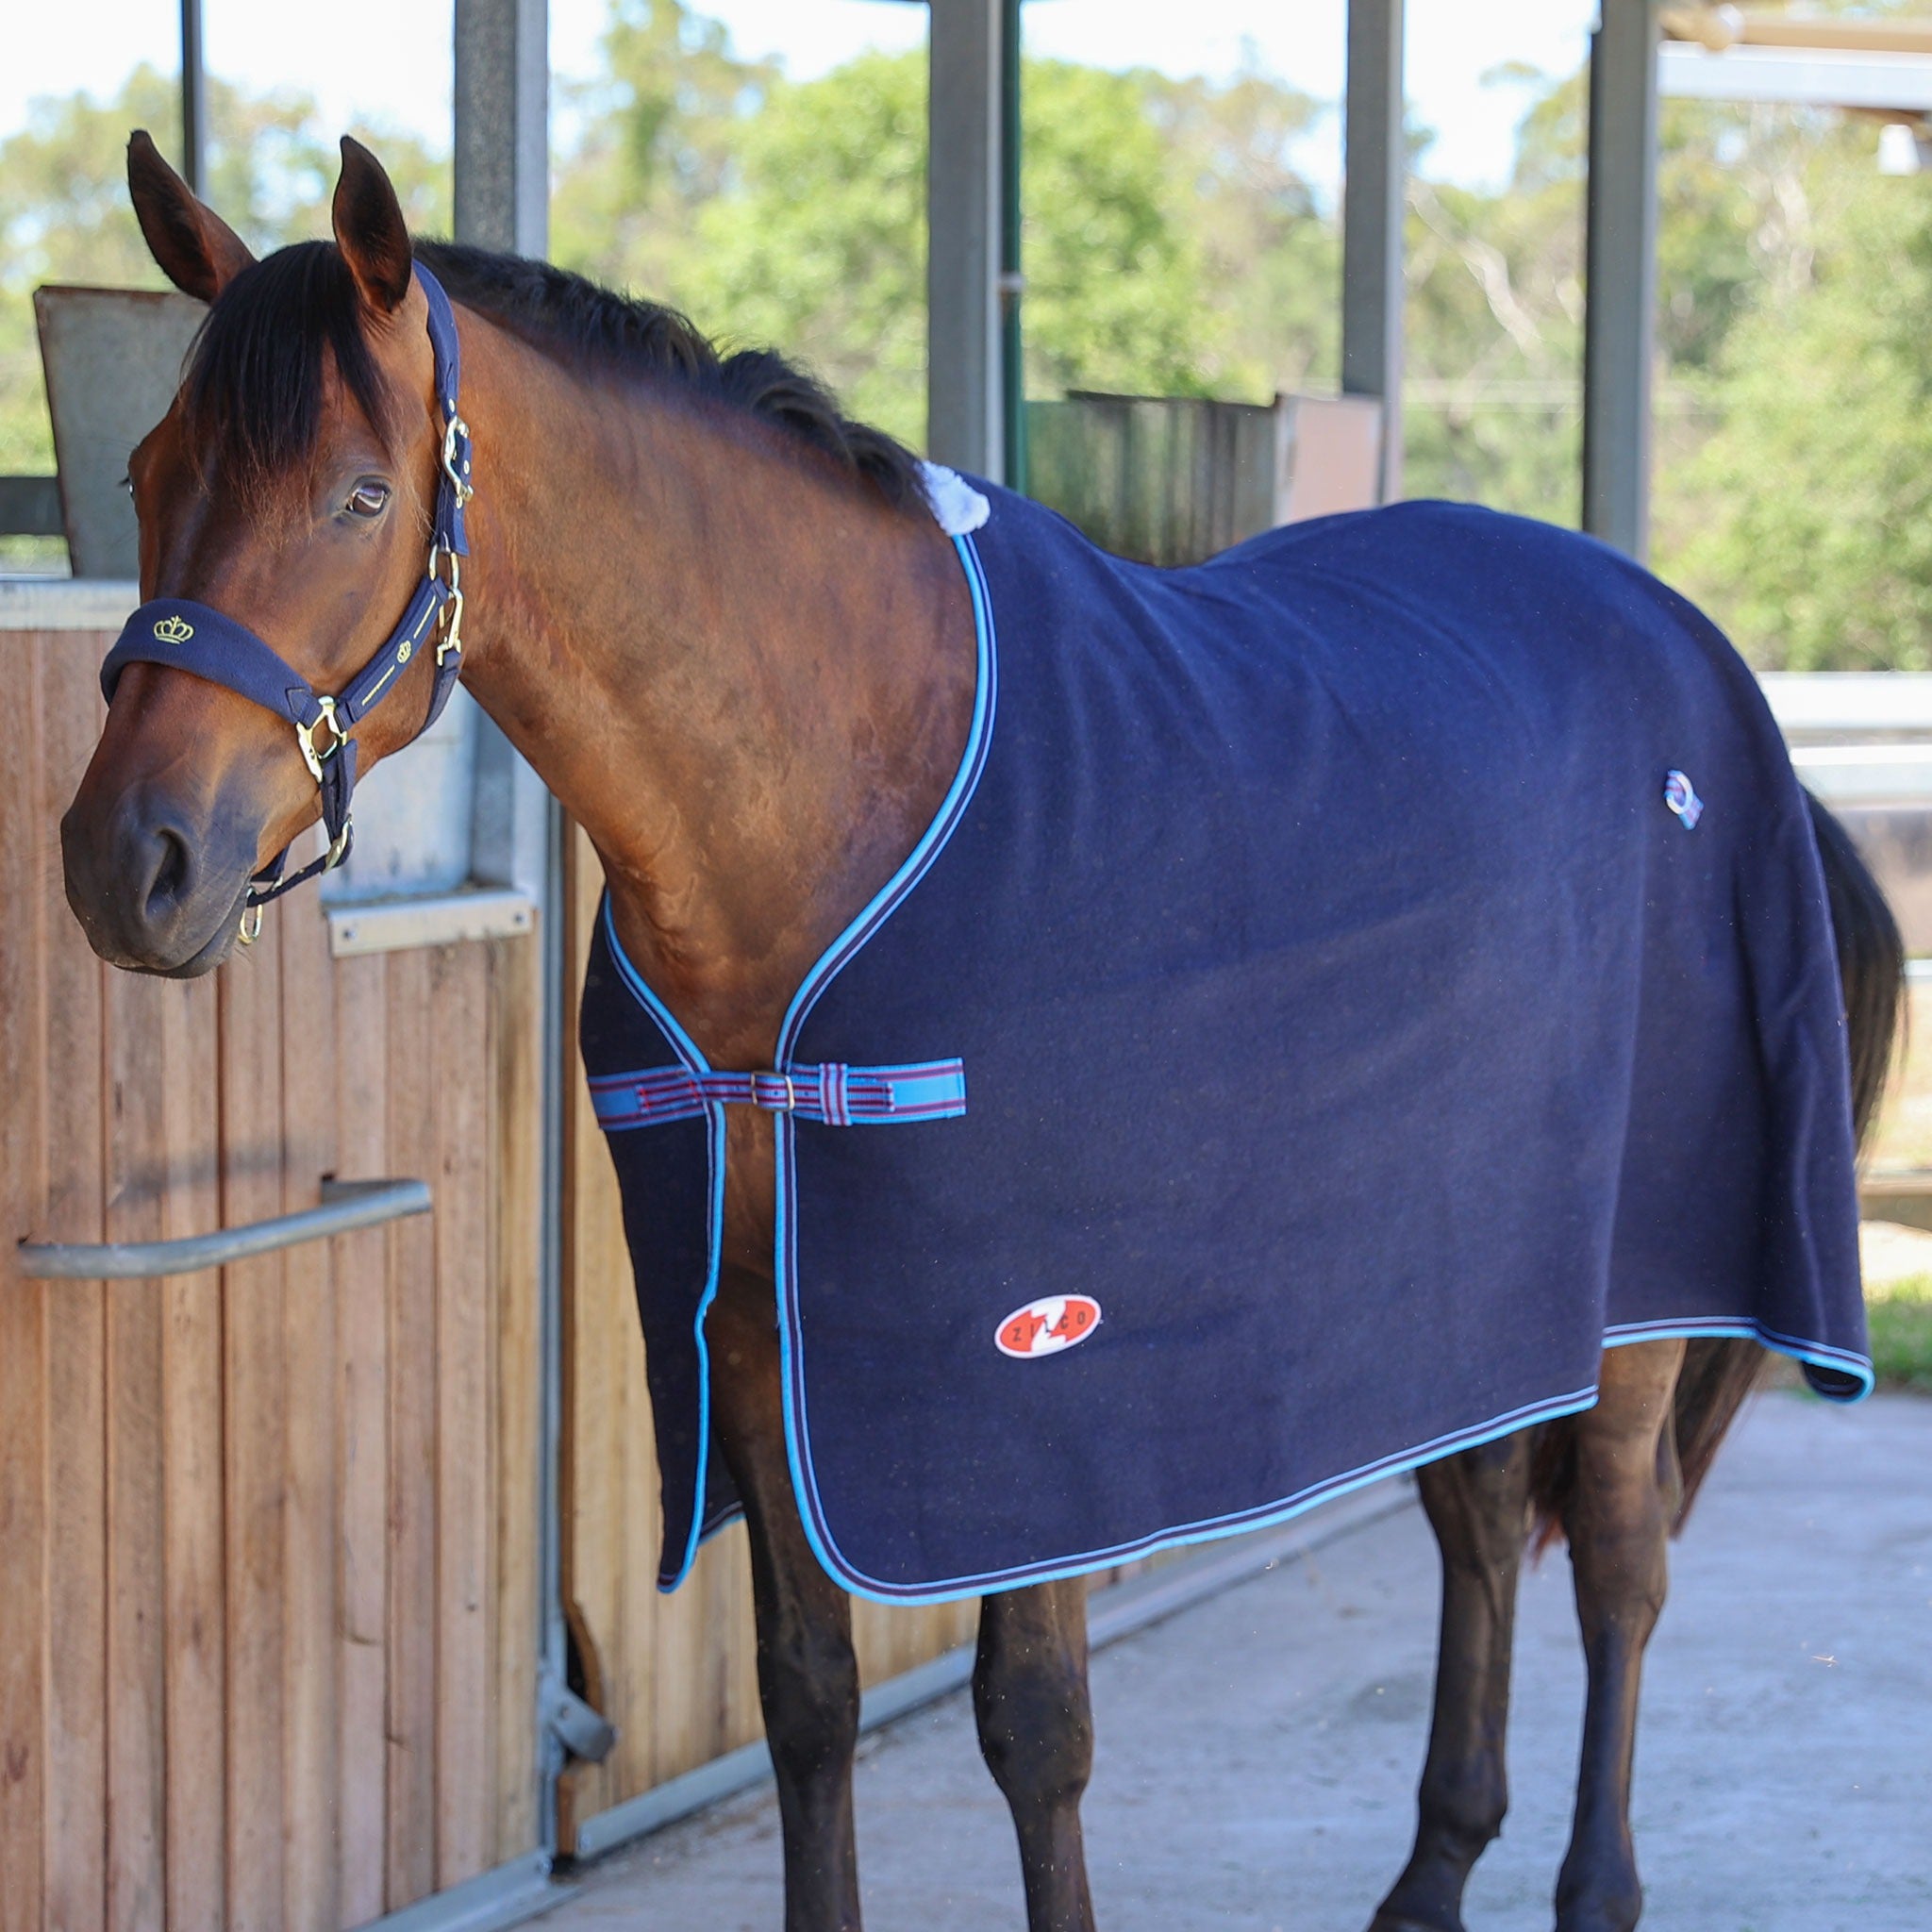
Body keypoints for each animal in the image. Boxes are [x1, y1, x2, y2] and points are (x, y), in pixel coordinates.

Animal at [61, 133, 1903, 1932]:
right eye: (149, 471)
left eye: (361, 496)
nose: (123, 862)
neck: (826, 803)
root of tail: (1689, 644)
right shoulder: (753, 1332)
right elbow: (804, 1695)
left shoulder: (1031, 1380)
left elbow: (1034, 1729)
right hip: (1470, 1276)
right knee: (1478, 1523)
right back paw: (1433, 1869)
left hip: (1637, 1294)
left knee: (1617, 1561)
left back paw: (1592, 1887)